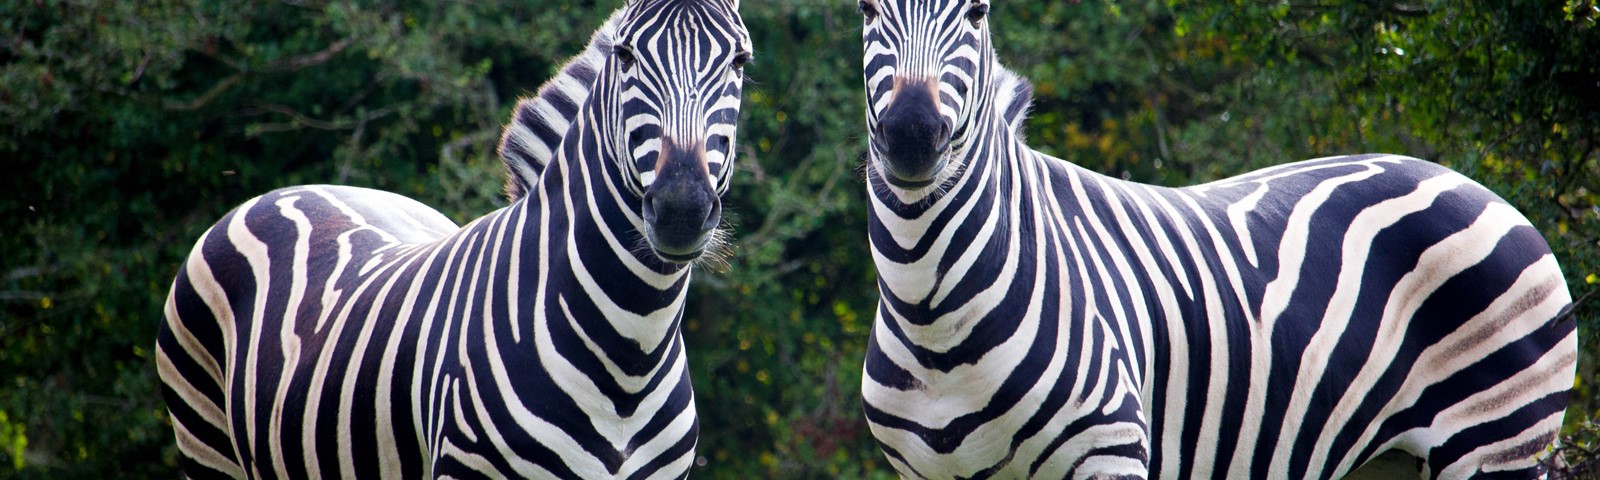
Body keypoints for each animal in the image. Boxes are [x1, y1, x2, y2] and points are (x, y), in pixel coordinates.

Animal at [156, 0, 752, 477]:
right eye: (626, 56)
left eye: (740, 62)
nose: (680, 210)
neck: (630, 355)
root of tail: (295, 189)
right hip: (206, 446)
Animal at [854, 1, 1577, 478]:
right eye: (866, 7)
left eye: (976, 12)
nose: (912, 134)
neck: (932, 314)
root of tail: (1480, 189)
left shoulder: (1110, 451)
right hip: (1389, 462)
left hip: (1498, 439)